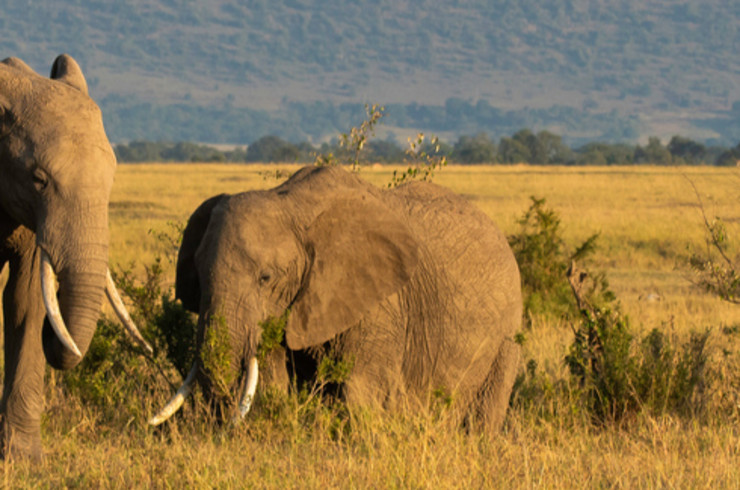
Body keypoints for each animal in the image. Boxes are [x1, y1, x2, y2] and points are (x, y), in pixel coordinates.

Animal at [151, 165, 522, 432]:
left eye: (265, 278)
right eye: (198, 275)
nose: (224, 427)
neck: (292, 206)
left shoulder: (381, 303)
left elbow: (360, 390)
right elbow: (273, 382)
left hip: (507, 334)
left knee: (486, 413)